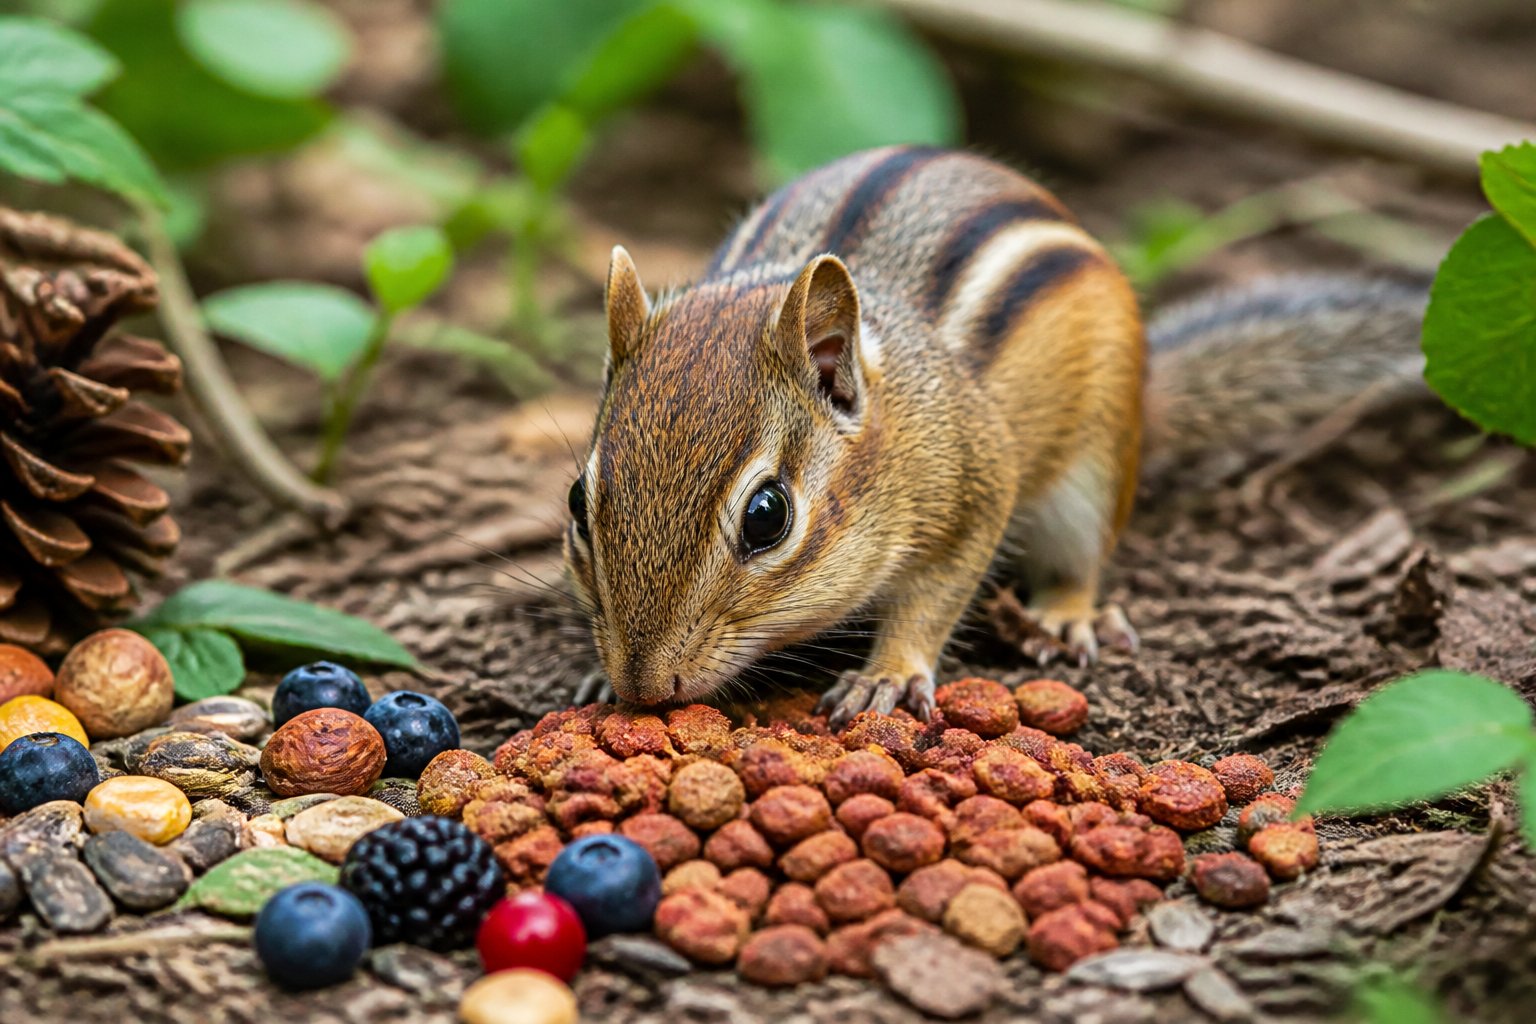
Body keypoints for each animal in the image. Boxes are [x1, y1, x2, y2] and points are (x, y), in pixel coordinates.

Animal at [563, 145, 1427, 727]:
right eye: (576, 502)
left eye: (767, 516)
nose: (642, 685)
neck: (897, 415)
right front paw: (597, 677)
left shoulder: (977, 488)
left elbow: (937, 595)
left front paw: (887, 673)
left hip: (1093, 467)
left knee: (1081, 558)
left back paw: (1067, 614)